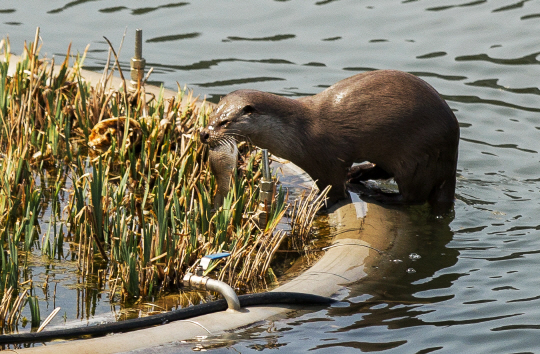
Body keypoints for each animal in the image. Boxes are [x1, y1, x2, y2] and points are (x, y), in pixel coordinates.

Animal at [199, 69, 460, 210]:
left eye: (225, 122)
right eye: (212, 116)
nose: (204, 133)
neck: (297, 132)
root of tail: (452, 158)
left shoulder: (326, 158)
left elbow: (335, 190)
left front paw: (316, 204)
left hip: (418, 158)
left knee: (413, 196)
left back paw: (381, 196)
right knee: (384, 171)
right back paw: (358, 173)